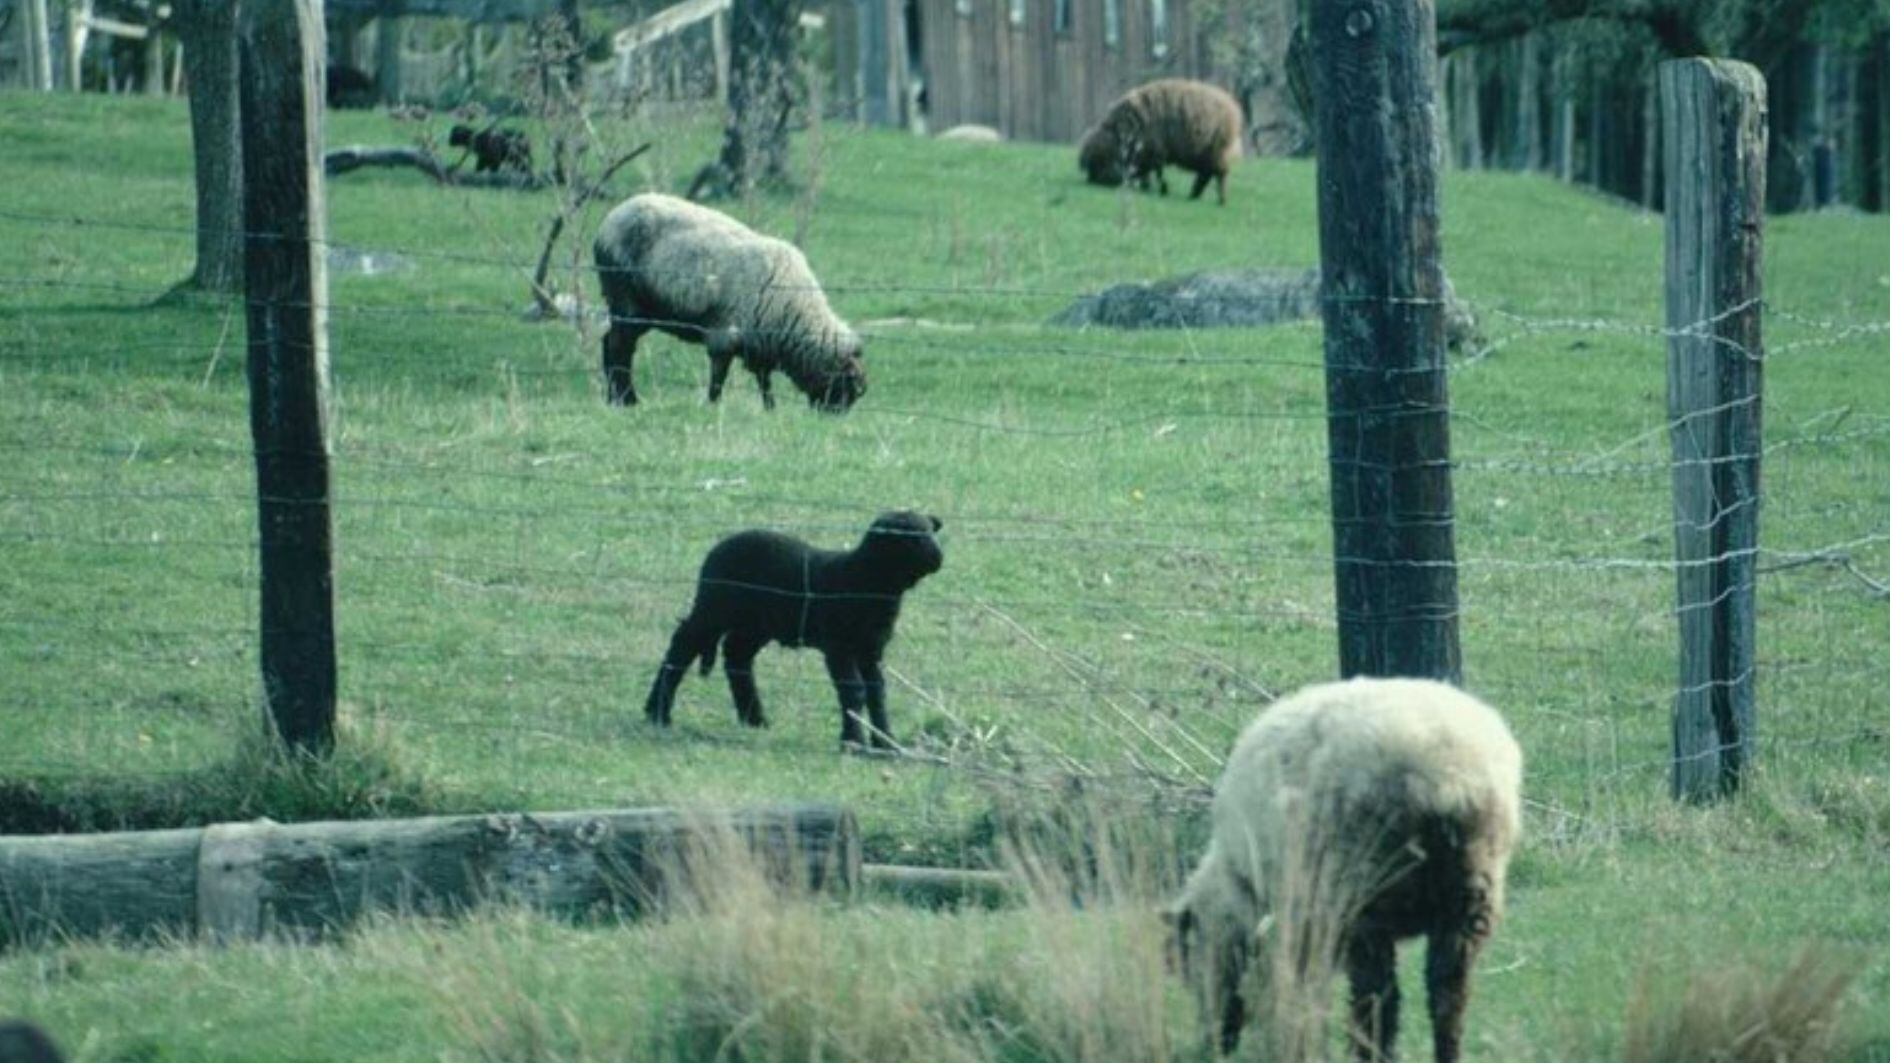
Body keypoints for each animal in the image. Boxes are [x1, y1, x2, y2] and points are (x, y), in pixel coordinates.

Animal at [585, 194, 865, 414]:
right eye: (845, 386)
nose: (833, 416)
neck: (793, 310)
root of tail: (608, 222)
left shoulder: (759, 343)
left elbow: (764, 380)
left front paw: (770, 409)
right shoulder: (724, 336)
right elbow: (719, 377)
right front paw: (713, 405)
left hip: (639, 312)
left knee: (610, 343)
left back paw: (615, 399)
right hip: (626, 302)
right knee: (619, 347)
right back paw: (627, 400)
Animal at [646, 510, 945, 745]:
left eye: (931, 531)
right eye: (912, 537)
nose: (939, 558)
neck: (865, 580)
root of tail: (720, 546)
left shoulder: (871, 649)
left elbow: (877, 692)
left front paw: (886, 742)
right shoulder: (838, 646)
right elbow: (854, 690)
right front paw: (853, 741)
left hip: (755, 624)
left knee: (736, 656)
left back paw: (754, 719)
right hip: (714, 605)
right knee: (683, 644)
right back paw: (657, 712)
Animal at [1081, 78, 1239, 205]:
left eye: (1099, 162)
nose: (1091, 181)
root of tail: (1232, 109)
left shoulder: (1154, 152)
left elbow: (1156, 173)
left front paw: (1160, 189)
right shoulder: (1149, 155)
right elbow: (1150, 172)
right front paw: (1152, 187)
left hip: (1217, 154)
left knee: (1219, 175)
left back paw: (1221, 200)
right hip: (1206, 157)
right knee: (1205, 176)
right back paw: (1193, 196)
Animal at [1164, 673, 1519, 1051]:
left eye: (1191, 968)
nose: (1214, 1043)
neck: (1240, 881)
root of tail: (1449, 779)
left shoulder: (1301, 922)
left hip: (1362, 897)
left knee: (1379, 1000)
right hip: (1471, 891)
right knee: (1448, 998)